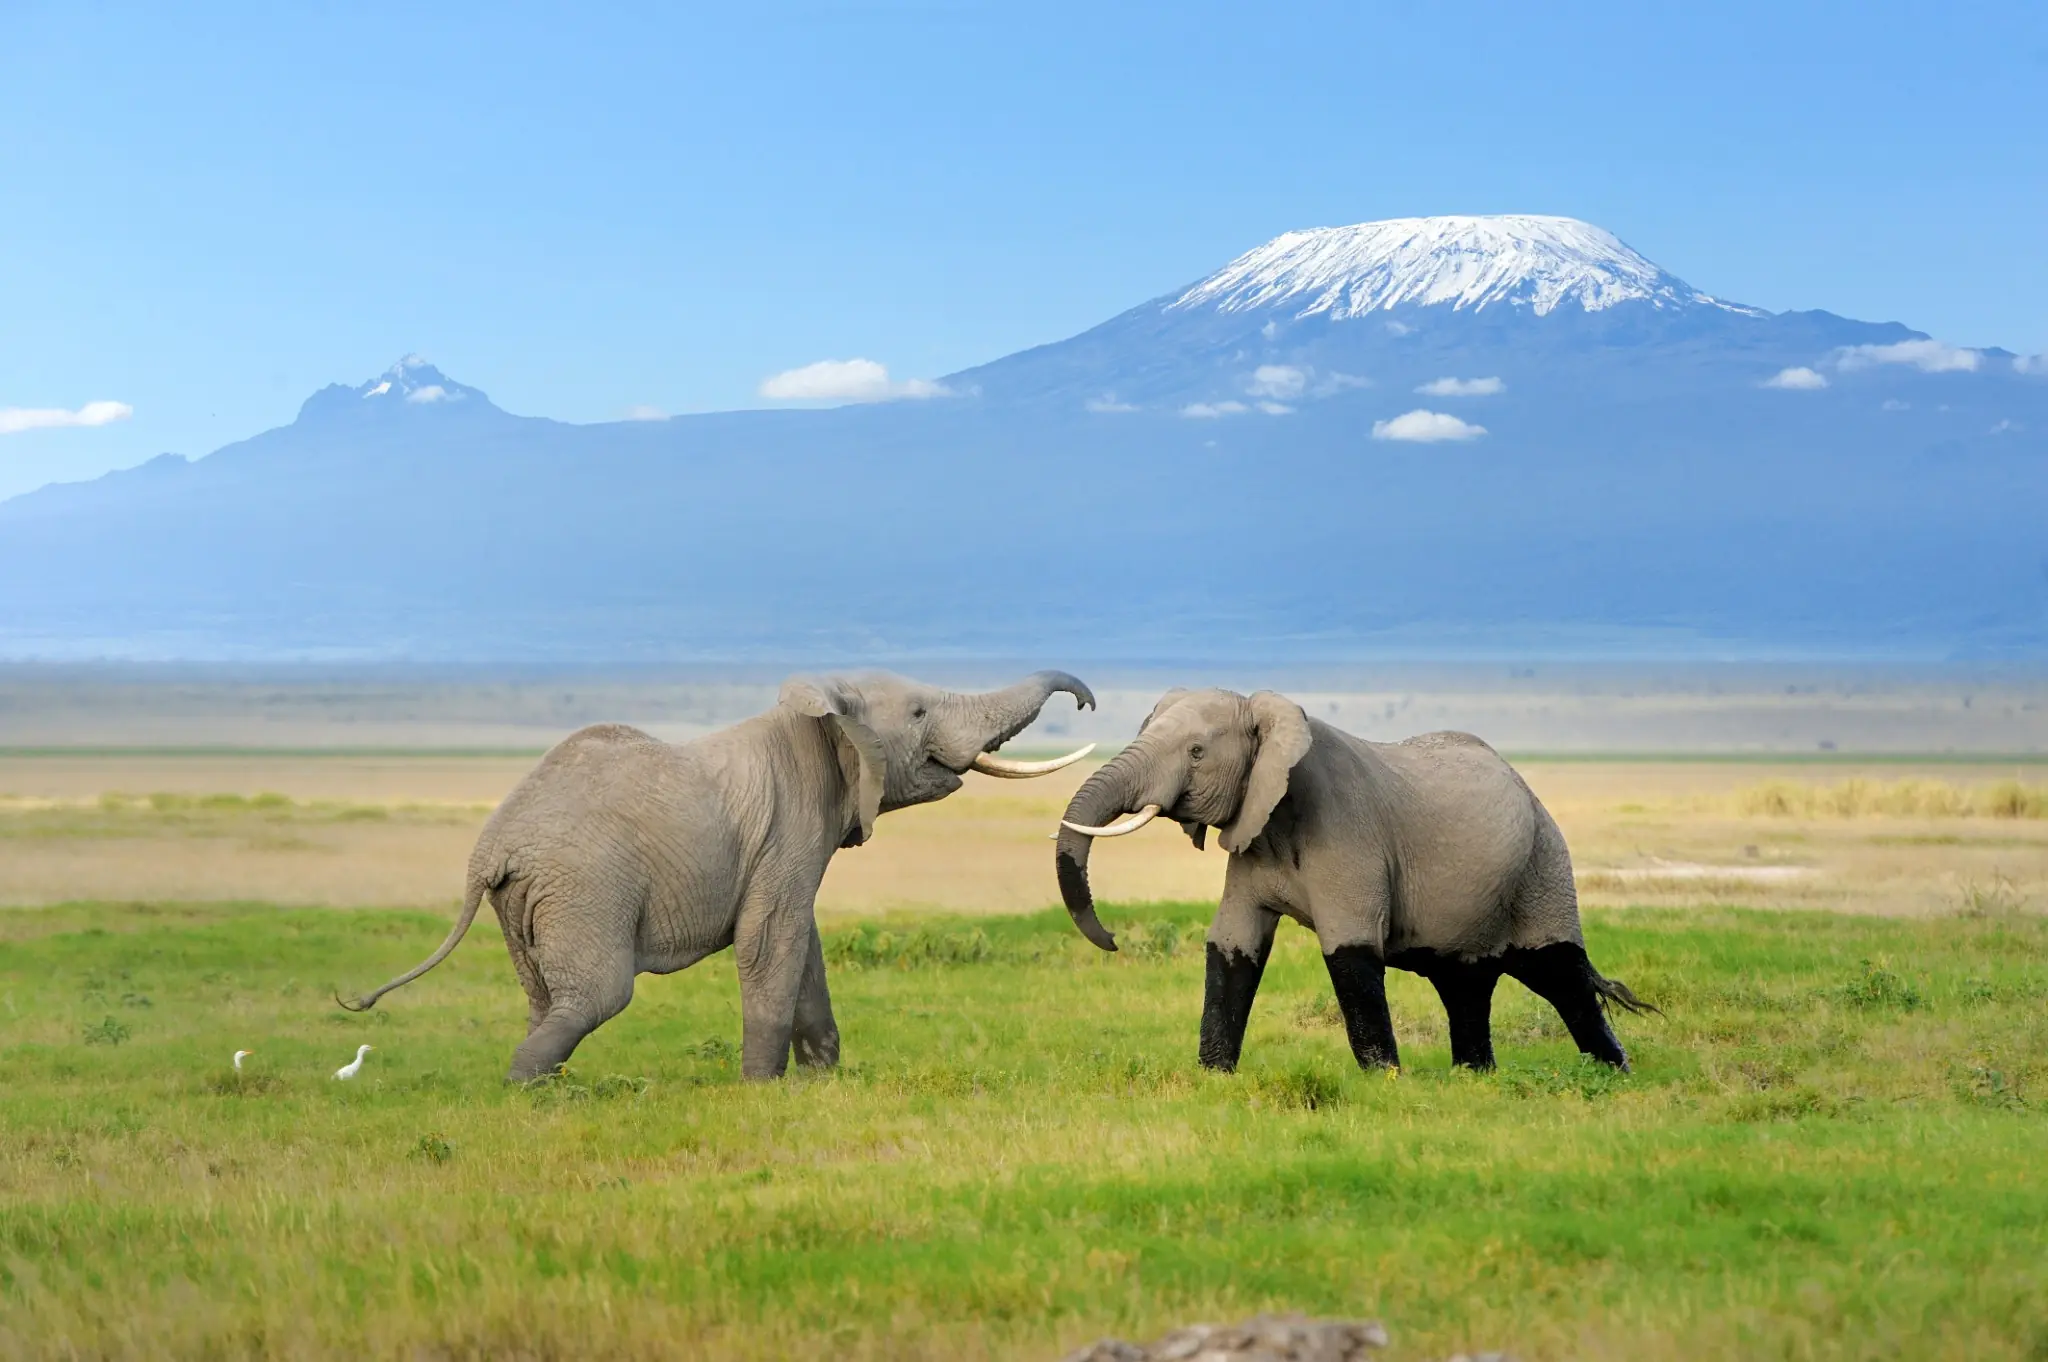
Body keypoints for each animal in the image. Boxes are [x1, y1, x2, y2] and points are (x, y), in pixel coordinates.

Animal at [340, 670, 1097, 1080]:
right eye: (917, 713)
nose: (1087, 702)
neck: (817, 713)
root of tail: (488, 852)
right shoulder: (790, 828)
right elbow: (772, 940)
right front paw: (763, 1089)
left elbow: (802, 943)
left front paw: (823, 1081)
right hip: (584, 886)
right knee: (598, 996)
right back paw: (526, 1090)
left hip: (526, 901)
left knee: (544, 998)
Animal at [1053, 688, 1653, 1074]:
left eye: (1197, 753)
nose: (1112, 940)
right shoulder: (1253, 833)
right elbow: (1233, 944)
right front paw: (1213, 1076)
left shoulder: (1347, 835)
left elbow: (1350, 950)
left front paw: (1384, 1081)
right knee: (1466, 983)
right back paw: (1474, 1077)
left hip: (1543, 863)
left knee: (1559, 974)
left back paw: (1614, 1075)